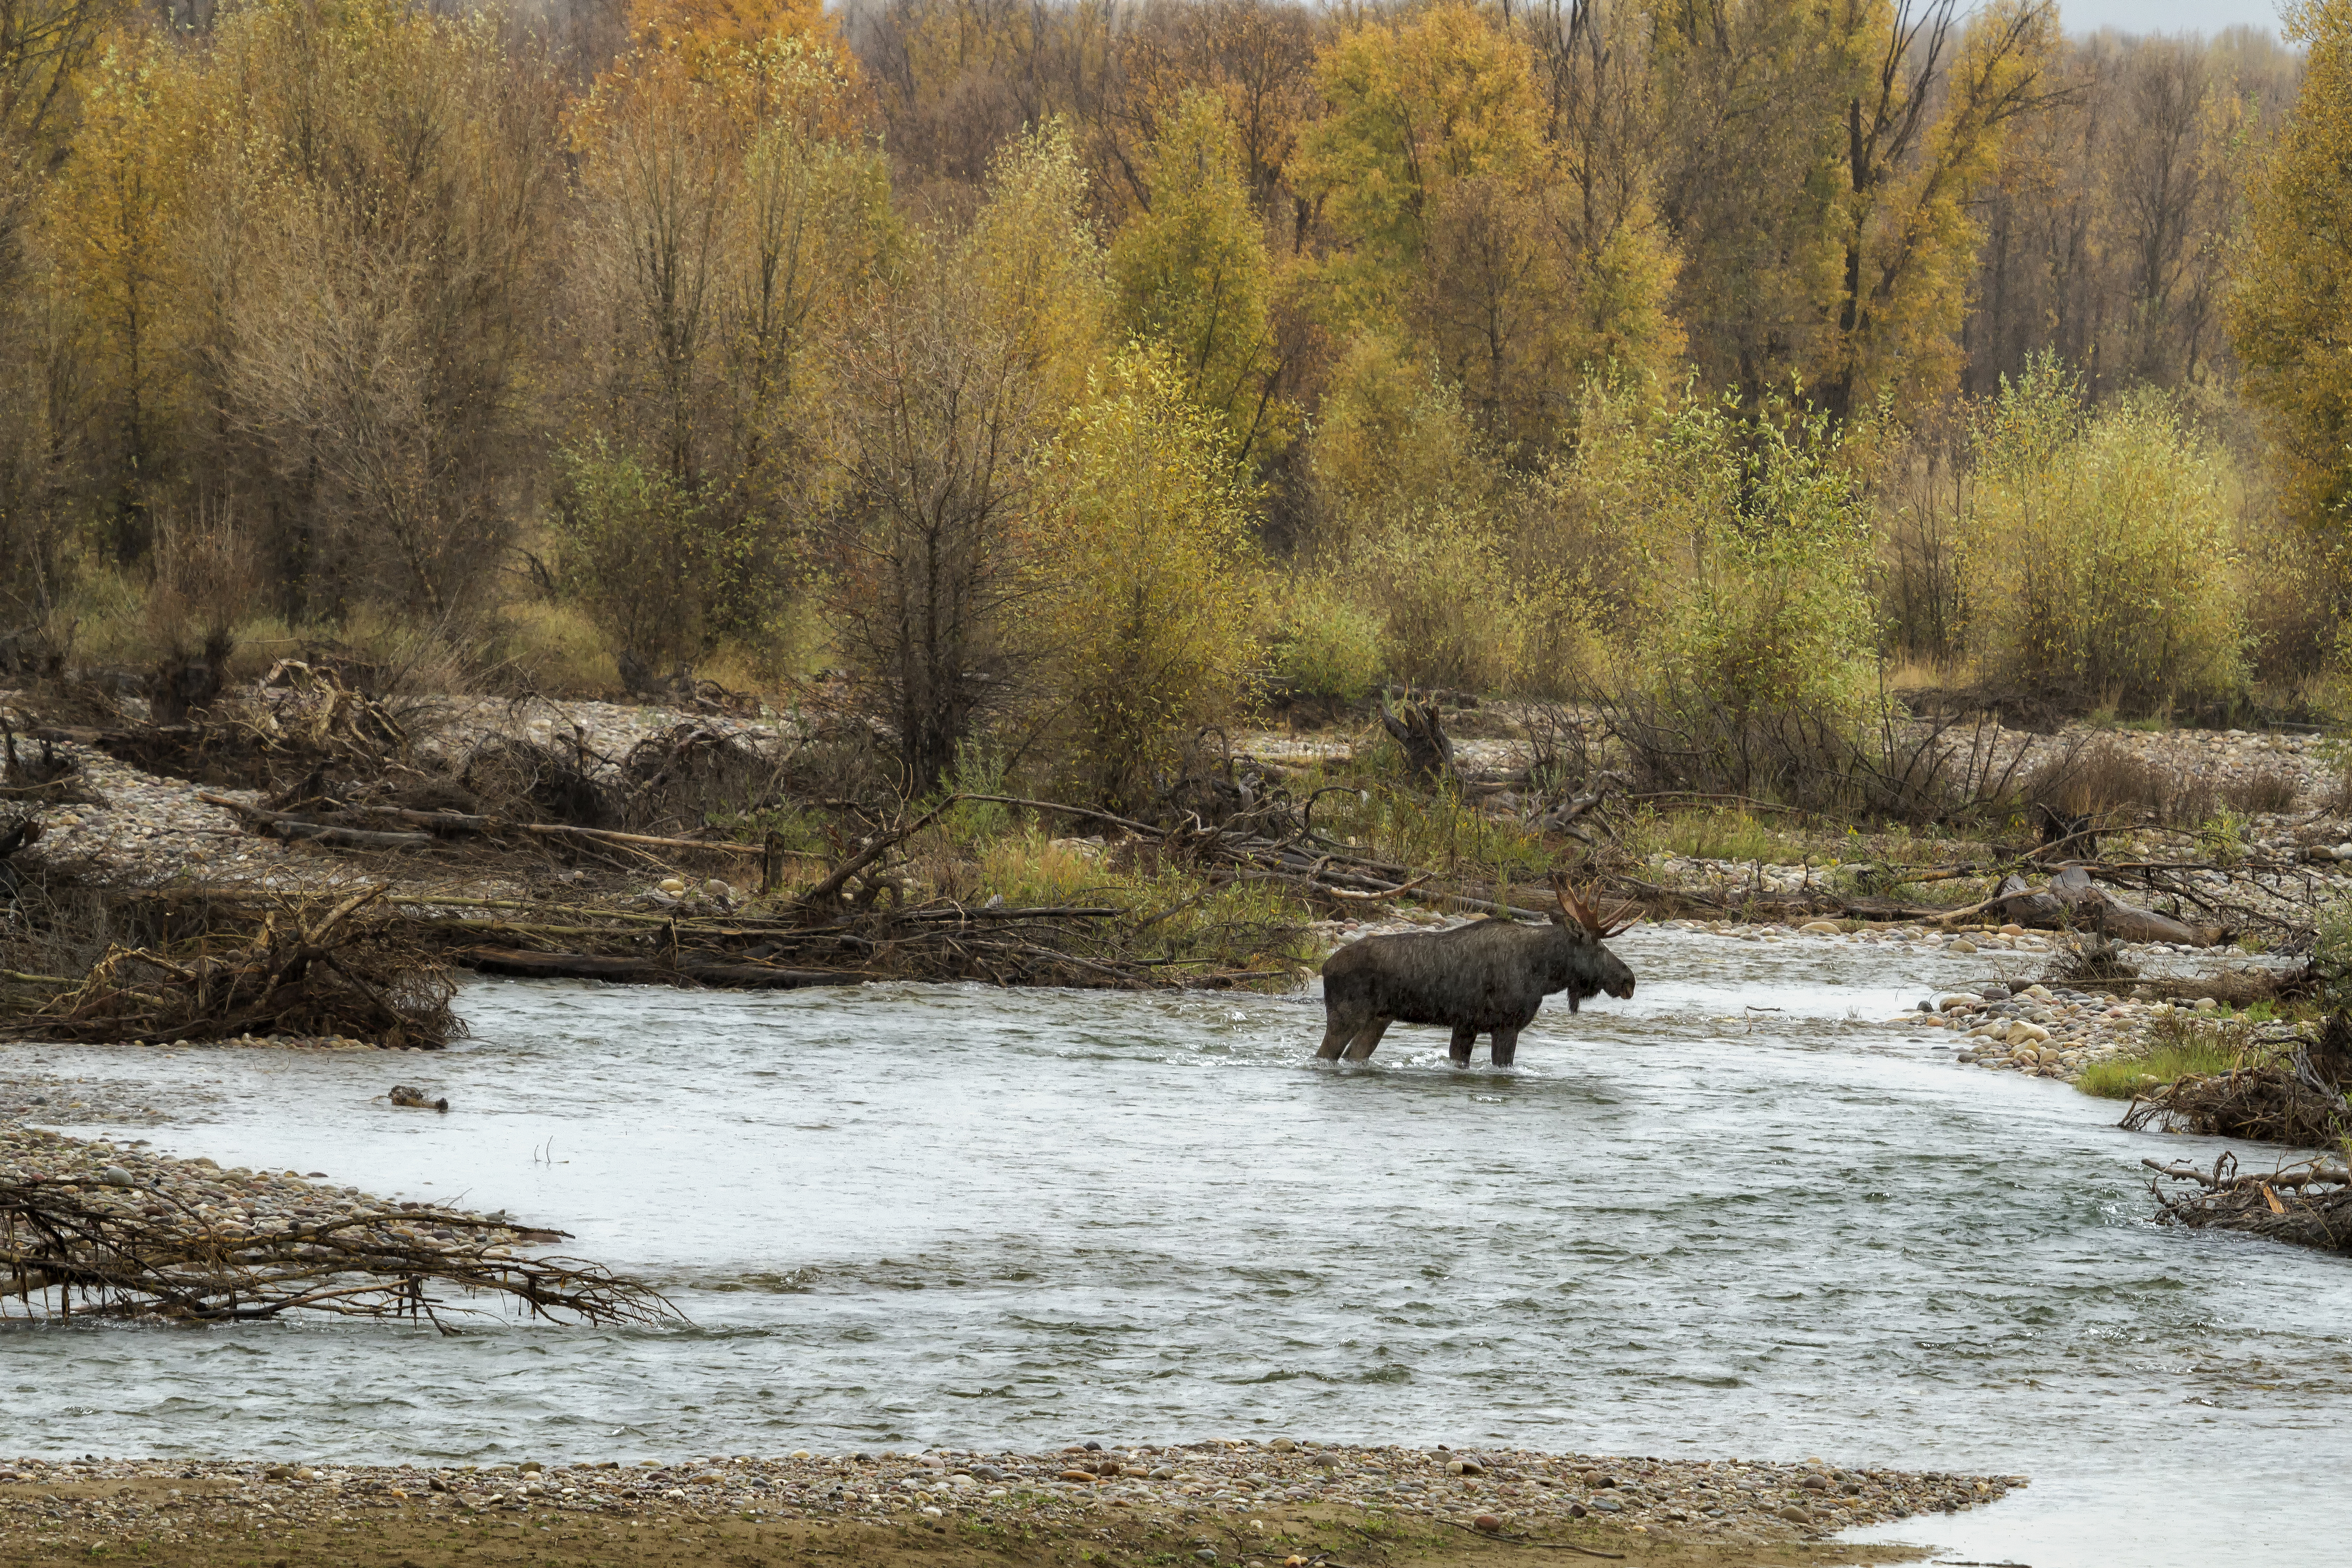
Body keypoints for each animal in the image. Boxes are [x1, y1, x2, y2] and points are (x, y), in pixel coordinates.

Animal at [1326, 879, 1637, 1072]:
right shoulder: (1507, 1025)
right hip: (1346, 1016)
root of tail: (1325, 968)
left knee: (1353, 1056)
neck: (1543, 974)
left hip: (1379, 1020)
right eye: (1597, 945)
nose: (1629, 981)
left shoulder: (1466, 1025)